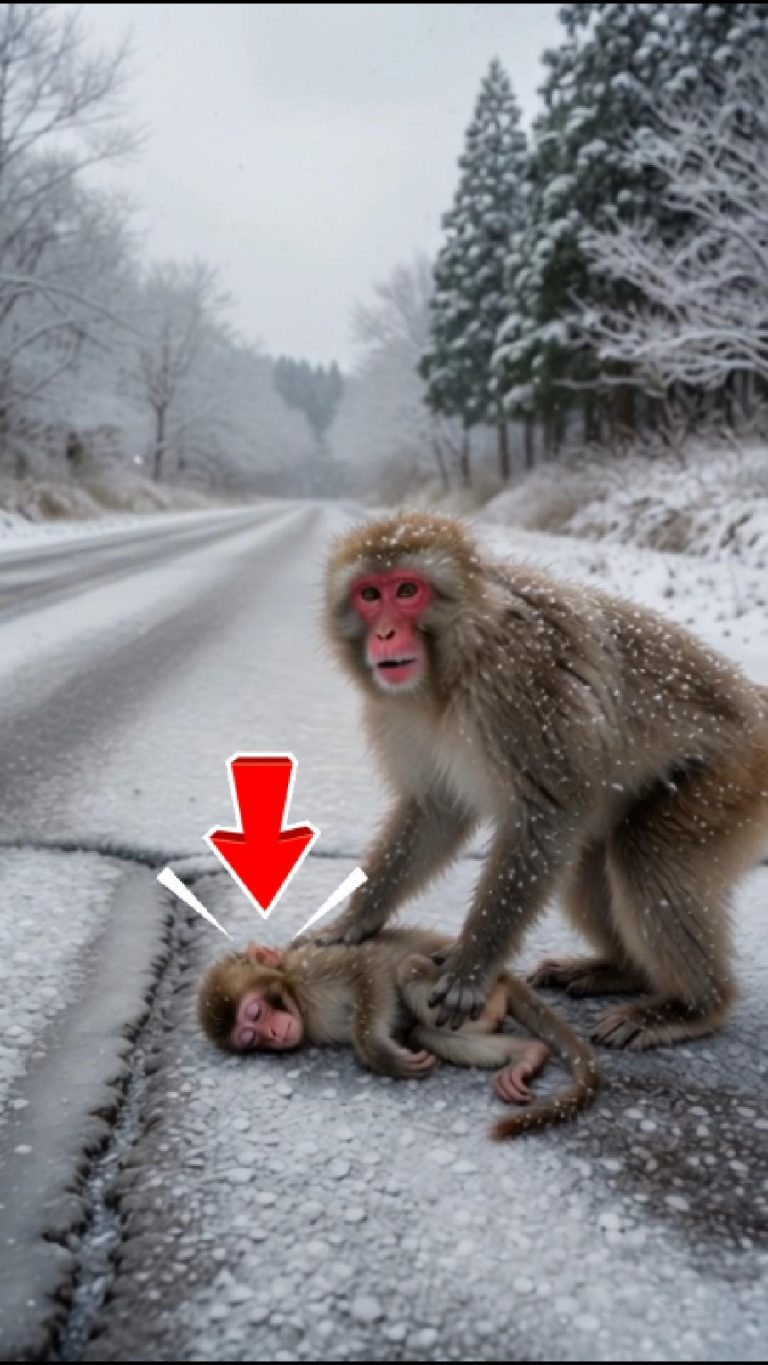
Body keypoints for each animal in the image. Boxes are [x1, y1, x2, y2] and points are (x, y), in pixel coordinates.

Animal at [197, 927, 600, 1140]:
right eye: (250, 1038)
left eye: (255, 1012)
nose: (274, 1031)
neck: (297, 994)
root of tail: (498, 976)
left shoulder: (313, 968)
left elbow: (368, 968)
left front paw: (379, 1053)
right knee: (423, 1033)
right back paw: (528, 1054)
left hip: (472, 996)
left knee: (407, 970)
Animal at [316, 510, 768, 1049]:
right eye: (369, 594)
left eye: (407, 590)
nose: (384, 634)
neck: (457, 664)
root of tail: (758, 702)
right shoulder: (402, 713)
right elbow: (436, 810)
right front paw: (355, 918)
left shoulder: (520, 686)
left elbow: (544, 816)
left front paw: (471, 968)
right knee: (591, 863)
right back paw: (621, 970)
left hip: (731, 778)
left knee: (645, 855)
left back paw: (692, 1006)